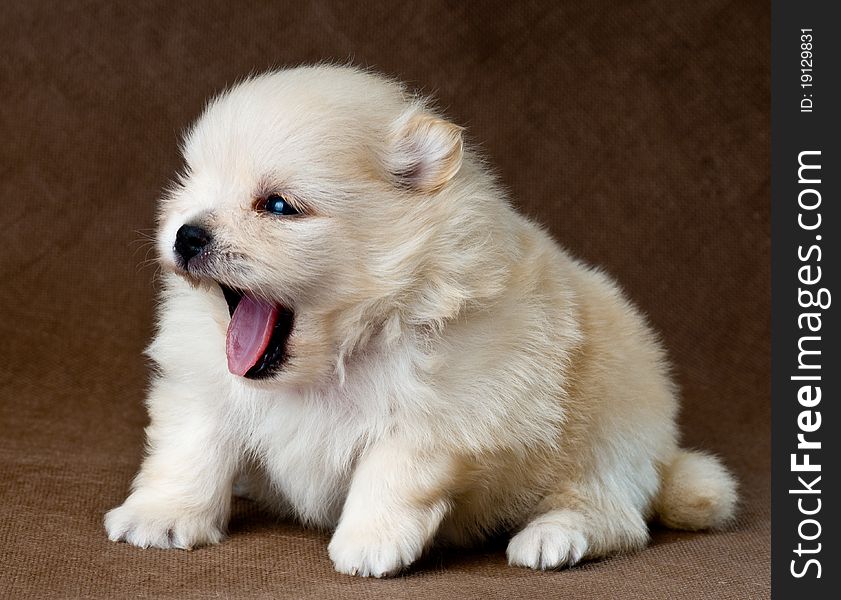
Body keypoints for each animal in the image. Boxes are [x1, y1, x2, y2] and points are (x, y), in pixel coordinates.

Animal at [103, 65, 736, 576]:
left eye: (278, 206)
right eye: (189, 185)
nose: (187, 235)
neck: (329, 361)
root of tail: (663, 456)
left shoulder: (439, 410)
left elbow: (389, 473)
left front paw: (367, 546)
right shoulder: (203, 385)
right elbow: (191, 450)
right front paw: (160, 518)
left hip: (608, 434)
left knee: (612, 514)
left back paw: (554, 536)